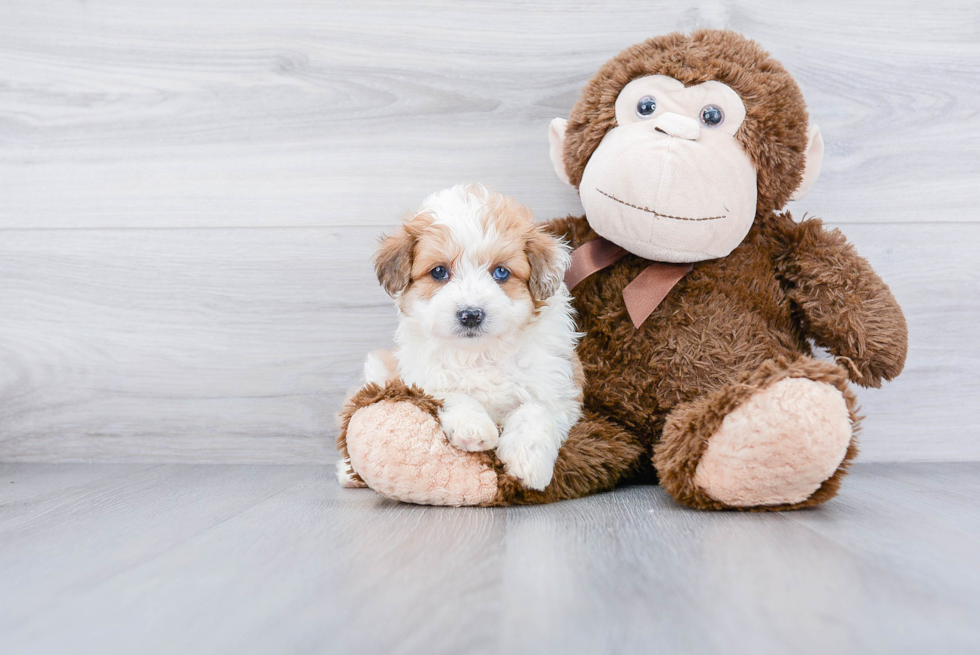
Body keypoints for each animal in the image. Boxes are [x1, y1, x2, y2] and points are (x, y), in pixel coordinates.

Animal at [350, 182, 584, 490]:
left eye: (501, 272)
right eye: (439, 271)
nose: (471, 314)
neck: (480, 353)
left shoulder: (558, 386)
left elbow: (536, 409)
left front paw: (527, 461)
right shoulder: (422, 377)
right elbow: (451, 393)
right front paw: (473, 426)